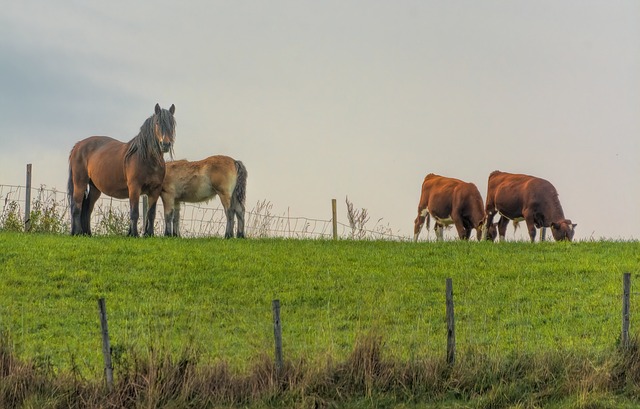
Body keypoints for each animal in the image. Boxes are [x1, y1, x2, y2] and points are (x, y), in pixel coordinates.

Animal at [68, 103, 176, 236]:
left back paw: (87, 233)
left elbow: (151, 214)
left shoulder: (155, 190)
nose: (165, 144)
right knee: (76, 207)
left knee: (88, 208)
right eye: (157, 122)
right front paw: (134, 234)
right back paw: (77, 232)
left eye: (172, 123)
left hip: (95, 188)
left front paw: (149, 234)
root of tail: (78, 145)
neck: (147, 159)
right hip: (80, 183)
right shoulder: (134, 188)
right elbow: (134, 213)